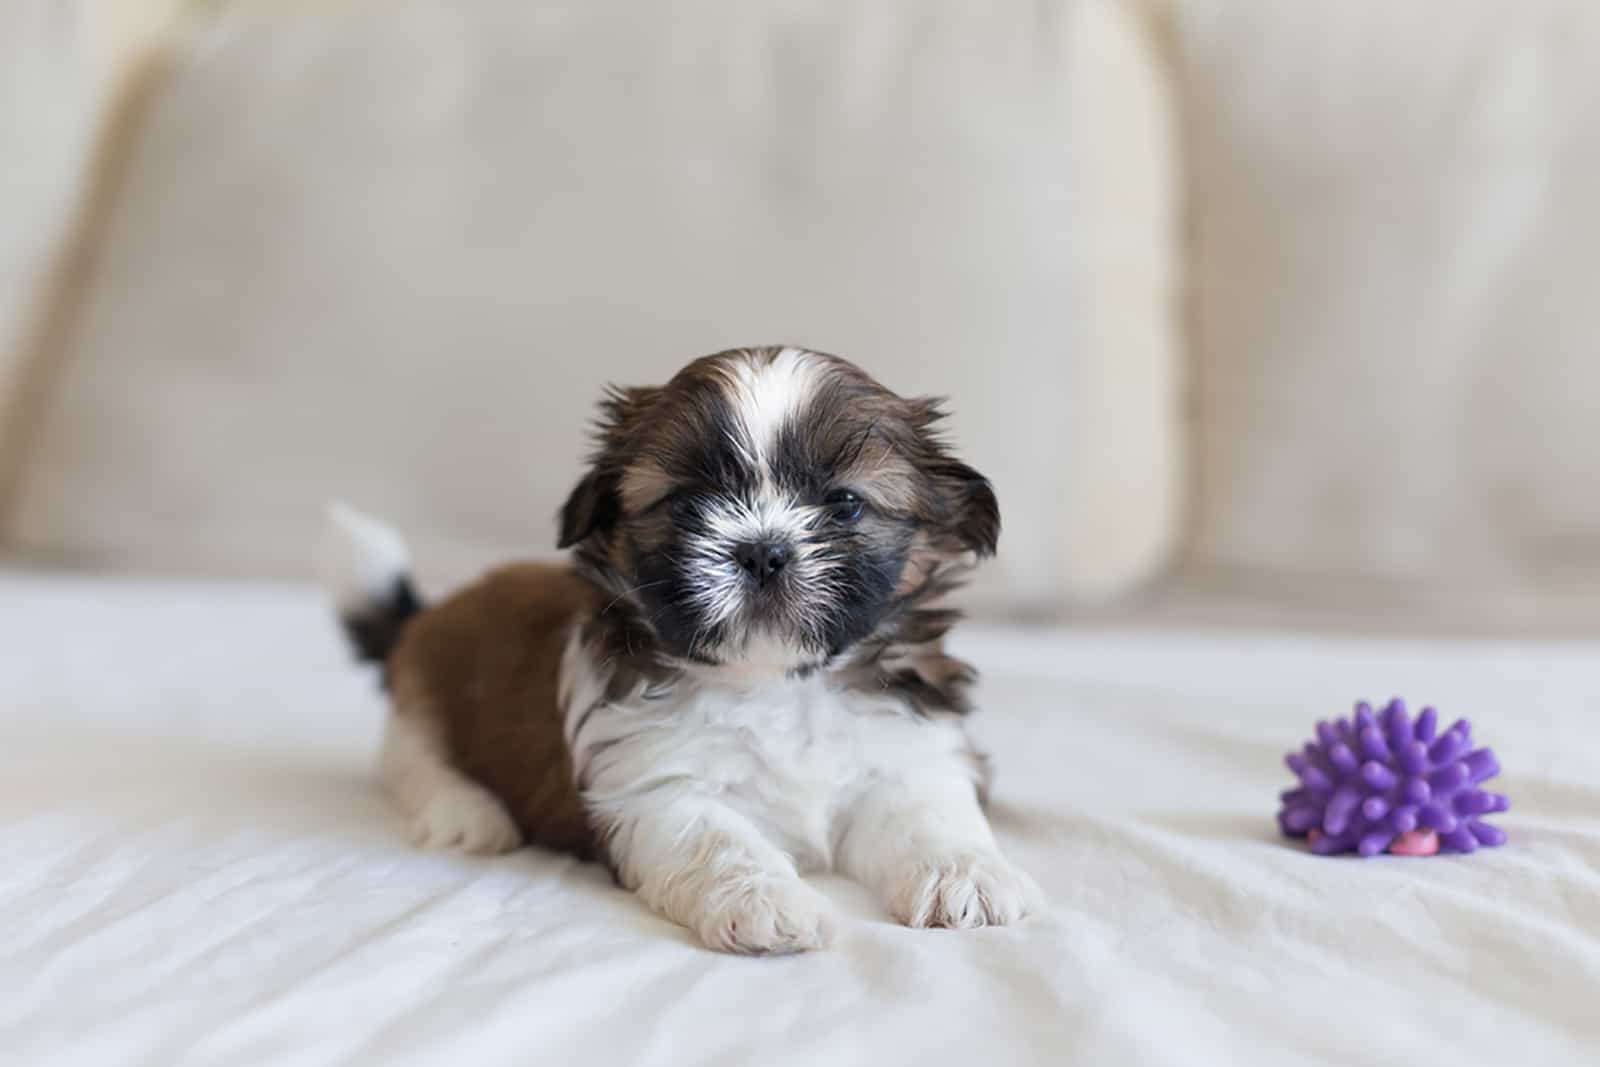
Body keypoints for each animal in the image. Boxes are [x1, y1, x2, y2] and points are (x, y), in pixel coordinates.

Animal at [320, 347, 1043, 953]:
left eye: (843, 504)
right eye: (689, 502)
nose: (763, 550)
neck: (778, 681)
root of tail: (428, 616)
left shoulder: (907, 749)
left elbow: (931, 811)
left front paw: (966, 875)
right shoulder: (653, 787)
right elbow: (717, 839)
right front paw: (765, 901)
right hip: (423, 700)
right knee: (413, 763)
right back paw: (468, 813)